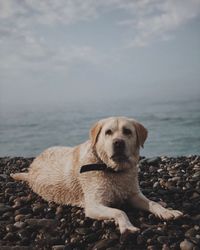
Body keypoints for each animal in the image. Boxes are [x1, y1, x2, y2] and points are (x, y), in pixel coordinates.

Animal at [11, 116, 183, 235]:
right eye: (108, 132)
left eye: (127, 131)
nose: (118, 142)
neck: (112, 169)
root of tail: (31, 168)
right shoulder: (94, 205)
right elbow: (119, 211)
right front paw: (127, 226)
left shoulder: (134, 194)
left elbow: (153, 203)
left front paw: (167, 212)